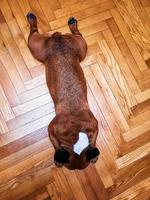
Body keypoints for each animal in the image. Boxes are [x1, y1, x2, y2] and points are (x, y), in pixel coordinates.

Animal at [27, 12, 99, 169]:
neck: (76, 135)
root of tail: (58, 37)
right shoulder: (51, 130)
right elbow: (57, 146)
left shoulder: (94, 125)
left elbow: (93, 142)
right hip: (42, 48)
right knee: (33, 32)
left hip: (76, 46)